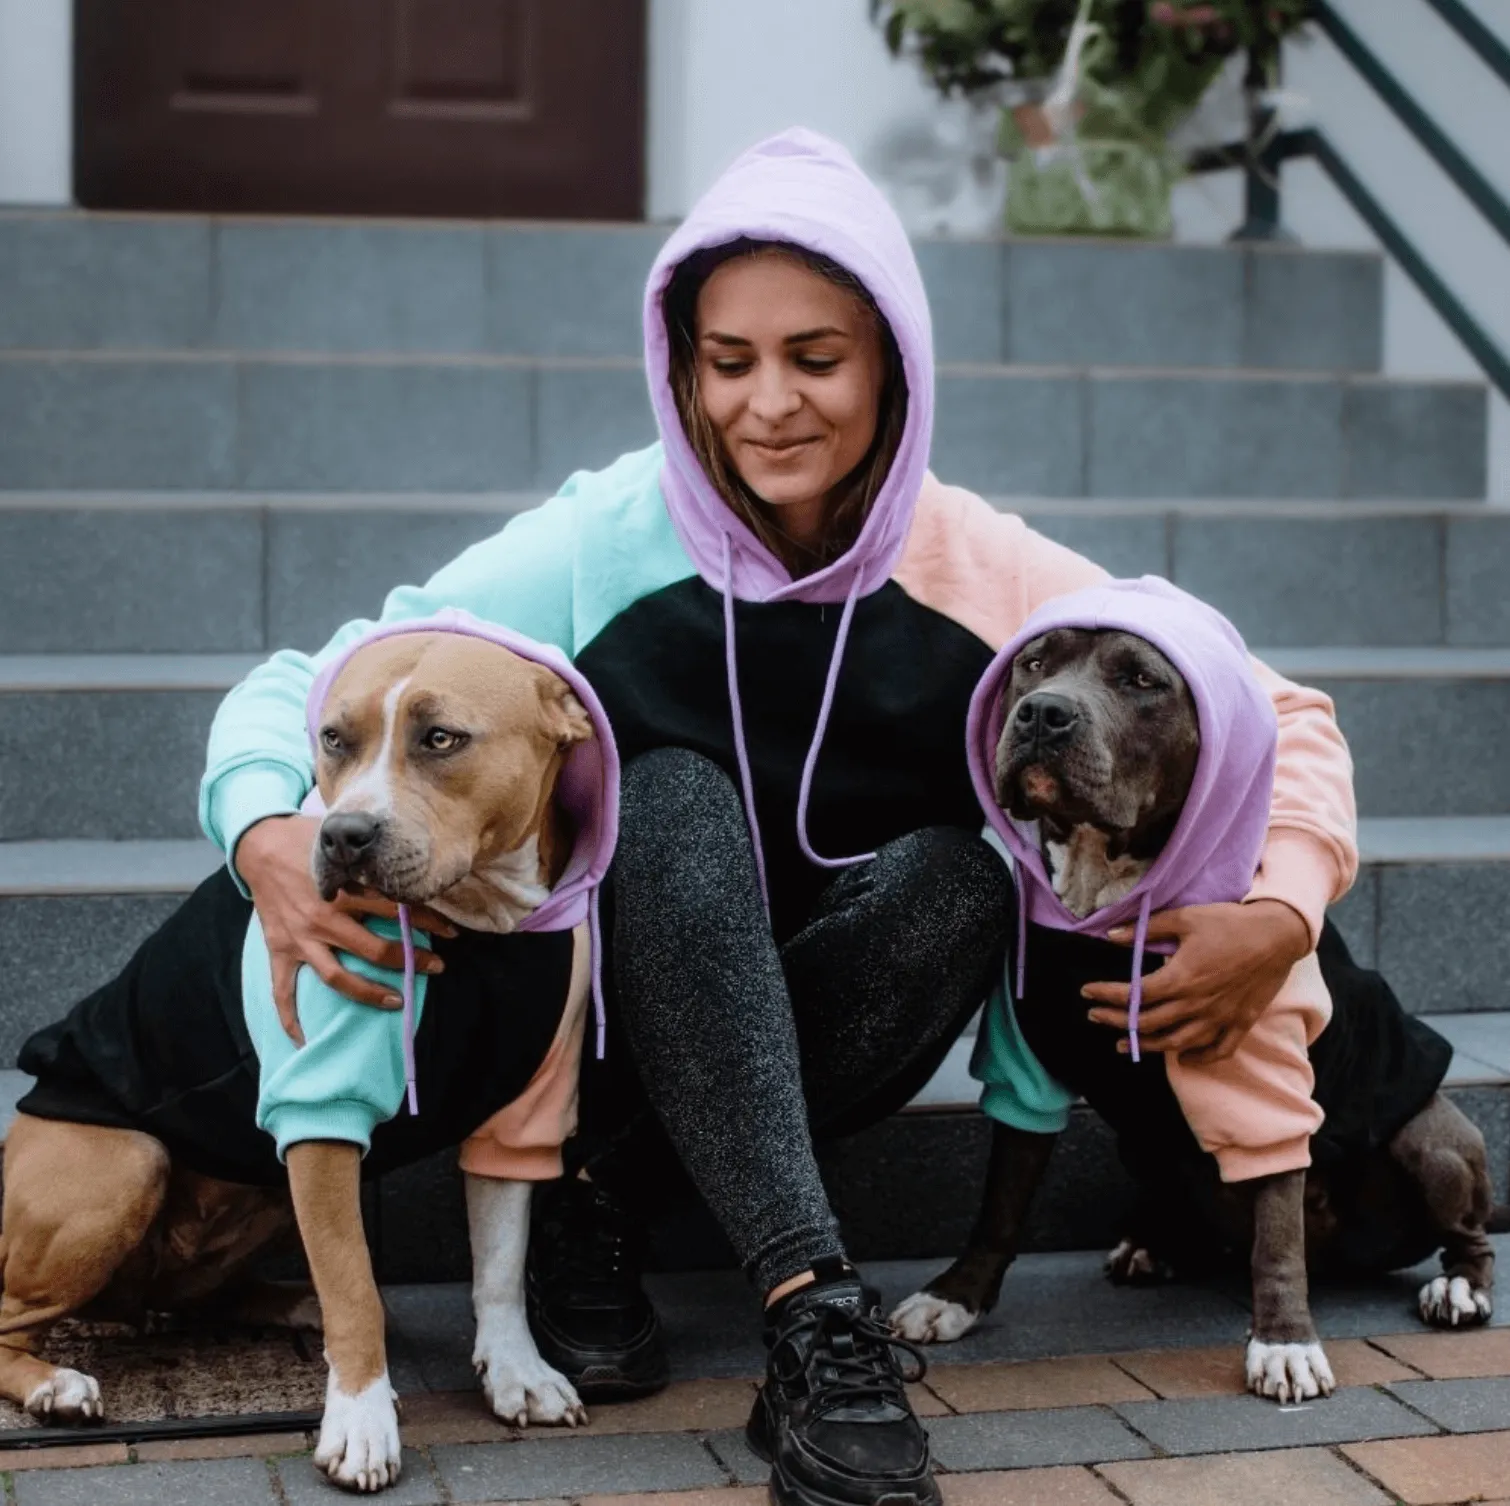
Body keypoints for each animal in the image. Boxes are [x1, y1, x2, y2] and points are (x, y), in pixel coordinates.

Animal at [0, 628, 600, 1486]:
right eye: (334, 739)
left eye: (442, 738)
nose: (344, 835)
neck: (479, 920)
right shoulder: (319, 1109)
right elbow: (353, 1282)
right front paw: (360, 1423)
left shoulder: (524, 1107)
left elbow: (499, 1262)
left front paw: (519, 1373)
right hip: (125, 1163)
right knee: (11, 1318)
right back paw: (55, 1384)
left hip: (254, 1190)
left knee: (195, 1294)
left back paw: (289, 1302)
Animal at [887, 622, 1503, 1395]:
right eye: (1034, 663)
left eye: (1141, 681)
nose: (1043, 713)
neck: (1105, 881)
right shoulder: (1024, 1058)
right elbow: (1002, 1197)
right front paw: (955, 1297)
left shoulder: (1264, 1074)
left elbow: (1276, 1227)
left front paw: (1284, 1343)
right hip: (1144, 1142)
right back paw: (1156, 1245)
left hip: (1433, 1138)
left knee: (1463, 1232)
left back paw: (1460, 1288)